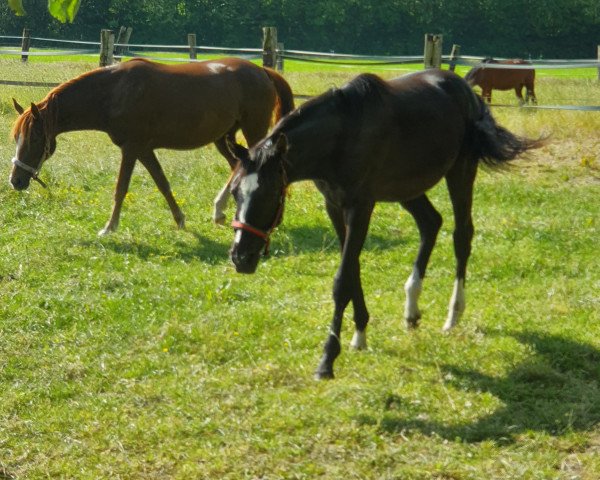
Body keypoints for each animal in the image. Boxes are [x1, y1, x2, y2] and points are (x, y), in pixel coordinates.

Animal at [8, 57, 292, 235]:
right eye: (16, 138)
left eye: (34, 138)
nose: (16, 181)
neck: (114, 92)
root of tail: (263, 72)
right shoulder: (144, 150)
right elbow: (162, 183)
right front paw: (180, 220)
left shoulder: (132, 148)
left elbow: (121, 188)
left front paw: (109, 228)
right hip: (224, 138)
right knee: (237, 167)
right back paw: (222, 212)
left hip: (253, 131)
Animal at [225, 68, 544, 378]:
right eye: (235, 192)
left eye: (271, 193)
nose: (241, 258)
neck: (343, 135)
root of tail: (467, 91)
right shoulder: (334, 206)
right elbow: (352, 269)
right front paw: (360, 333)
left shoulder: (360, 207)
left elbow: (342, 280)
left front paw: (327, 360)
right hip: (408, 188)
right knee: (431, 223)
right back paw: (412, 308)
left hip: (461, 171)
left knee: (462, 235)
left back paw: (453, 314)